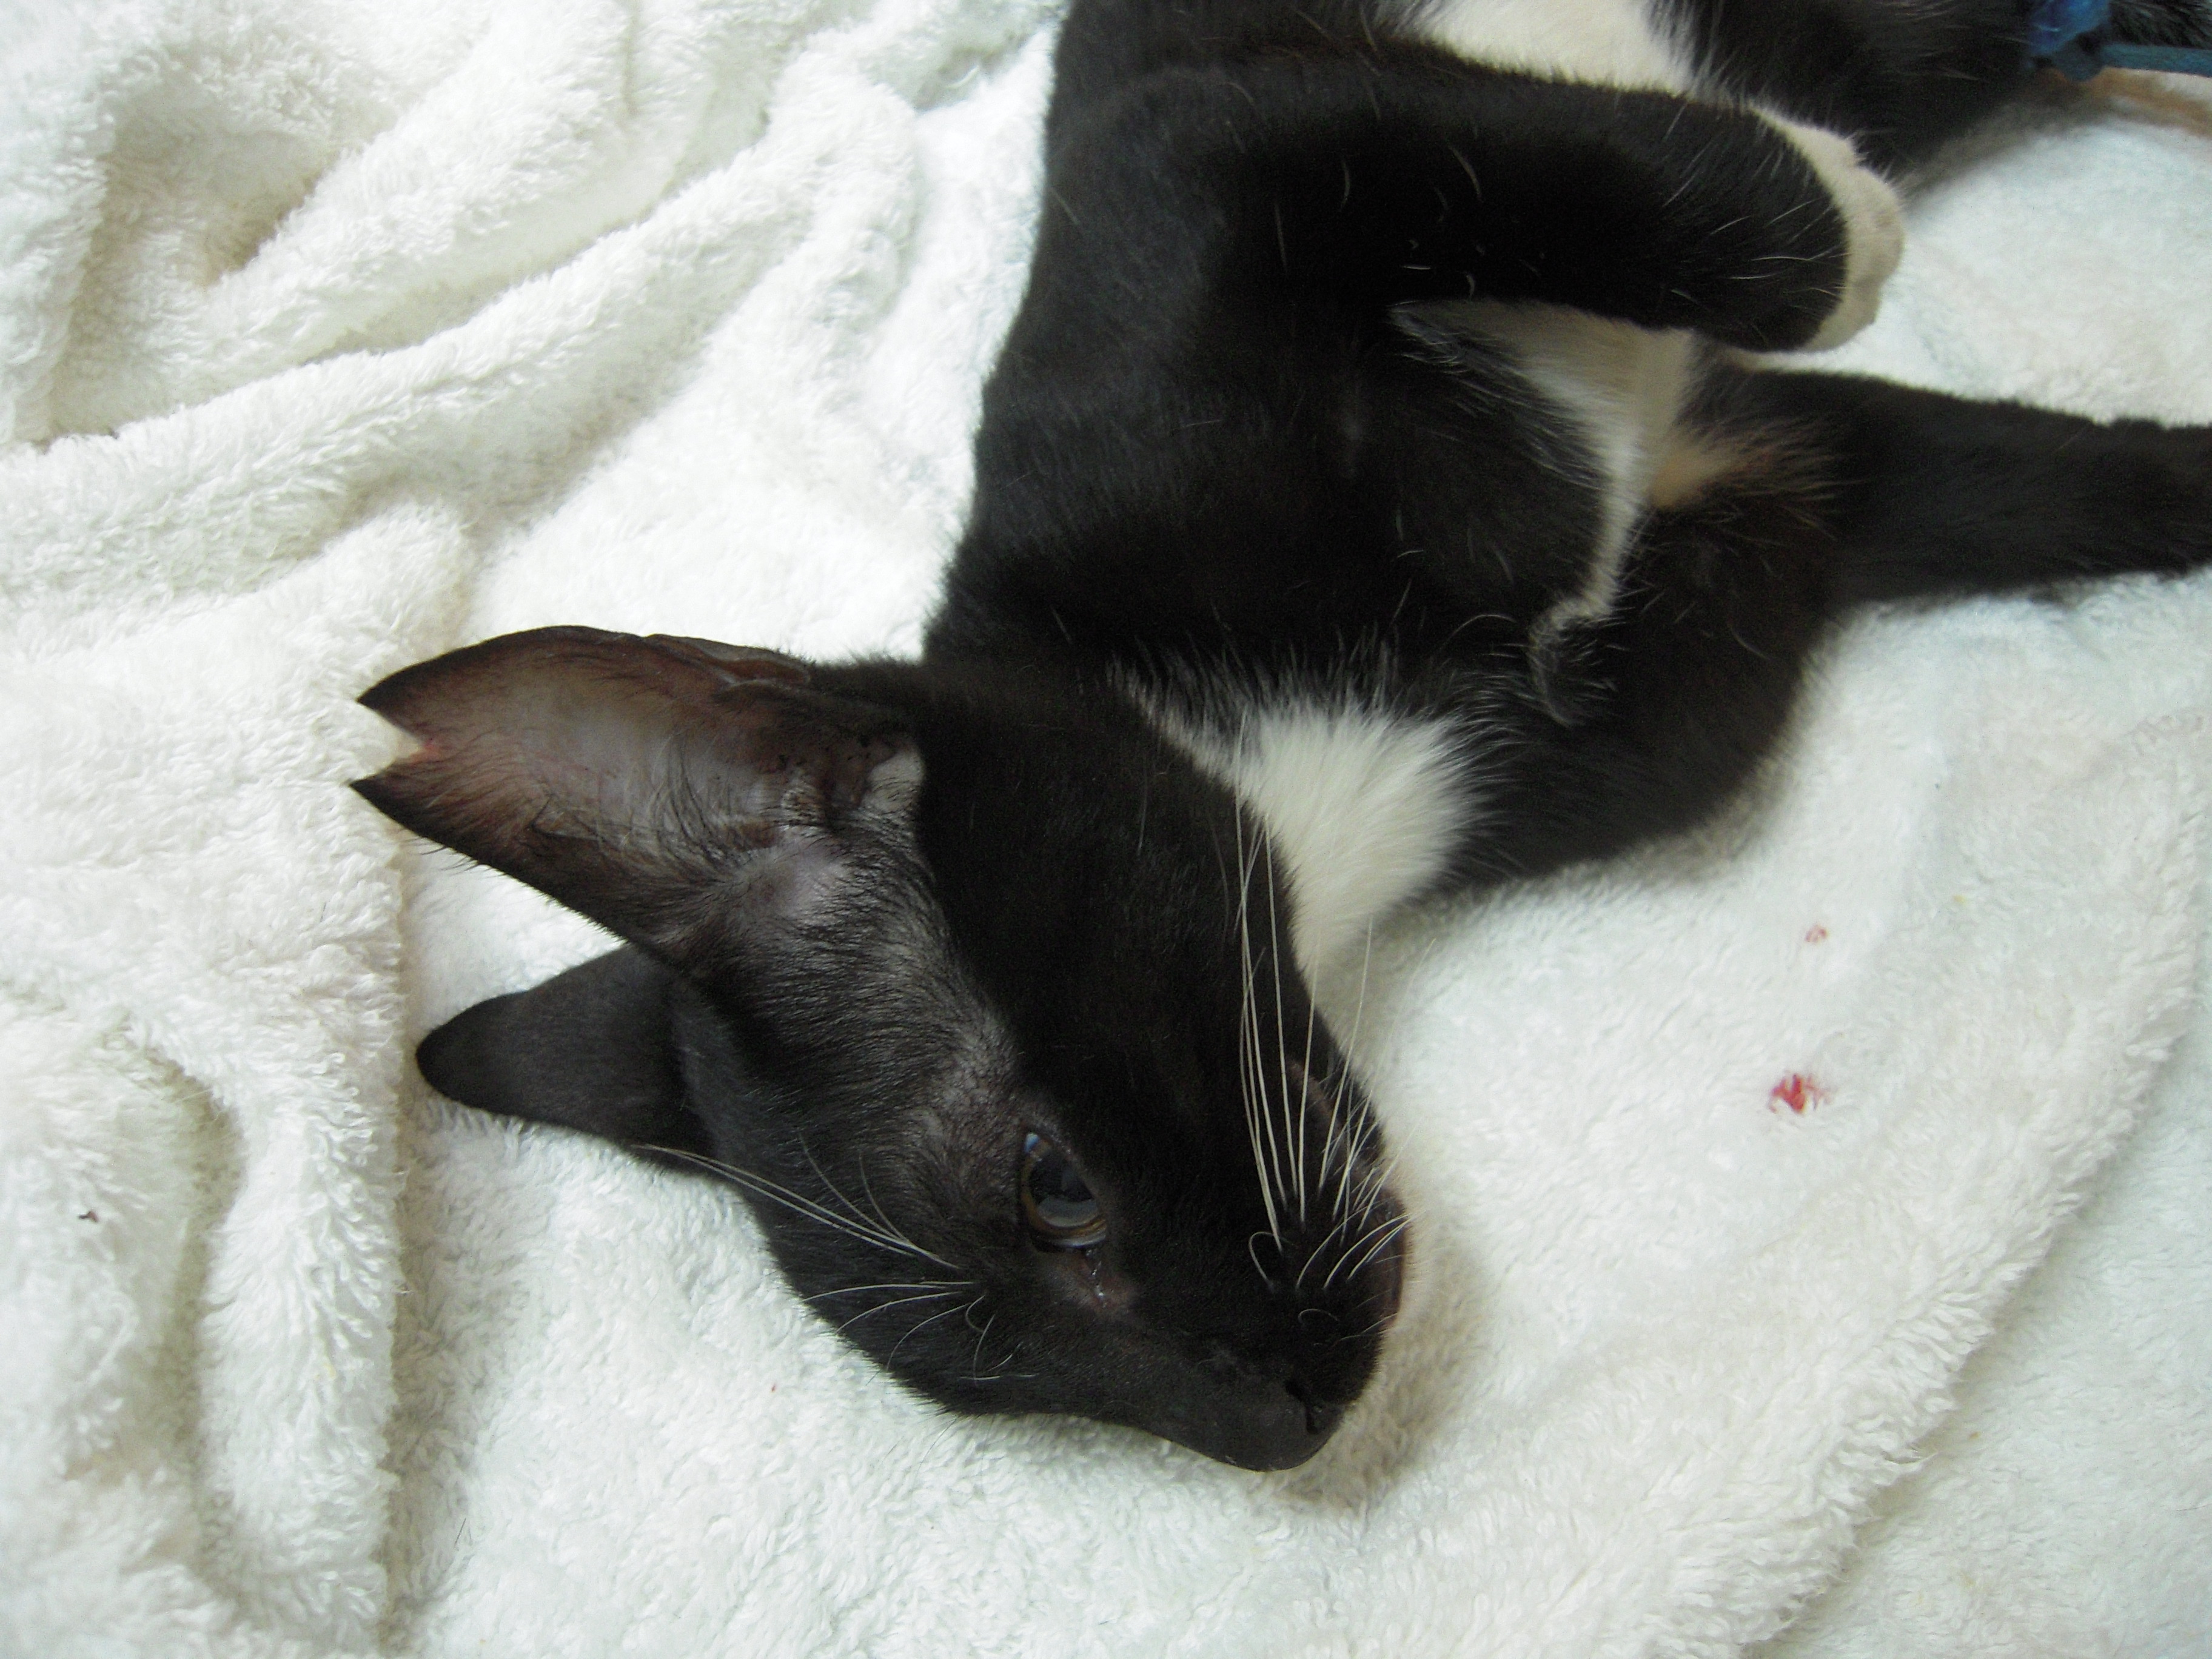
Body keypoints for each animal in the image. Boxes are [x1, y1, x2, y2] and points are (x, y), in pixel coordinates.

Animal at [354, 0, 2212, 1471]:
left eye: (1054, 1183)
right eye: (1017, 1389)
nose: (1279, 1428)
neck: (1329, 762)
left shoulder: (1198, 178)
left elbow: (1494, 158)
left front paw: (1846, 222)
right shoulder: (1730, 561)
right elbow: (1979, 483)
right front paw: (2170, 485)